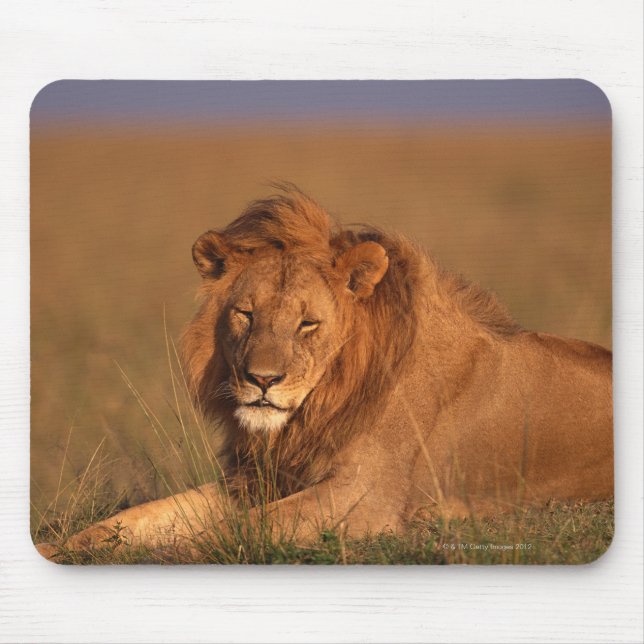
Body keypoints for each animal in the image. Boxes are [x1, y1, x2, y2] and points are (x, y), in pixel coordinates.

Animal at [36, 186, 613, 560]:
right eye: (245, 314)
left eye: (307, 324)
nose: (262, 381)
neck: (322, 403)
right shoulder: (257, 478)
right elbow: (138, 517)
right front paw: (57, 546)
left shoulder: (365, 498)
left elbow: (238, 531)